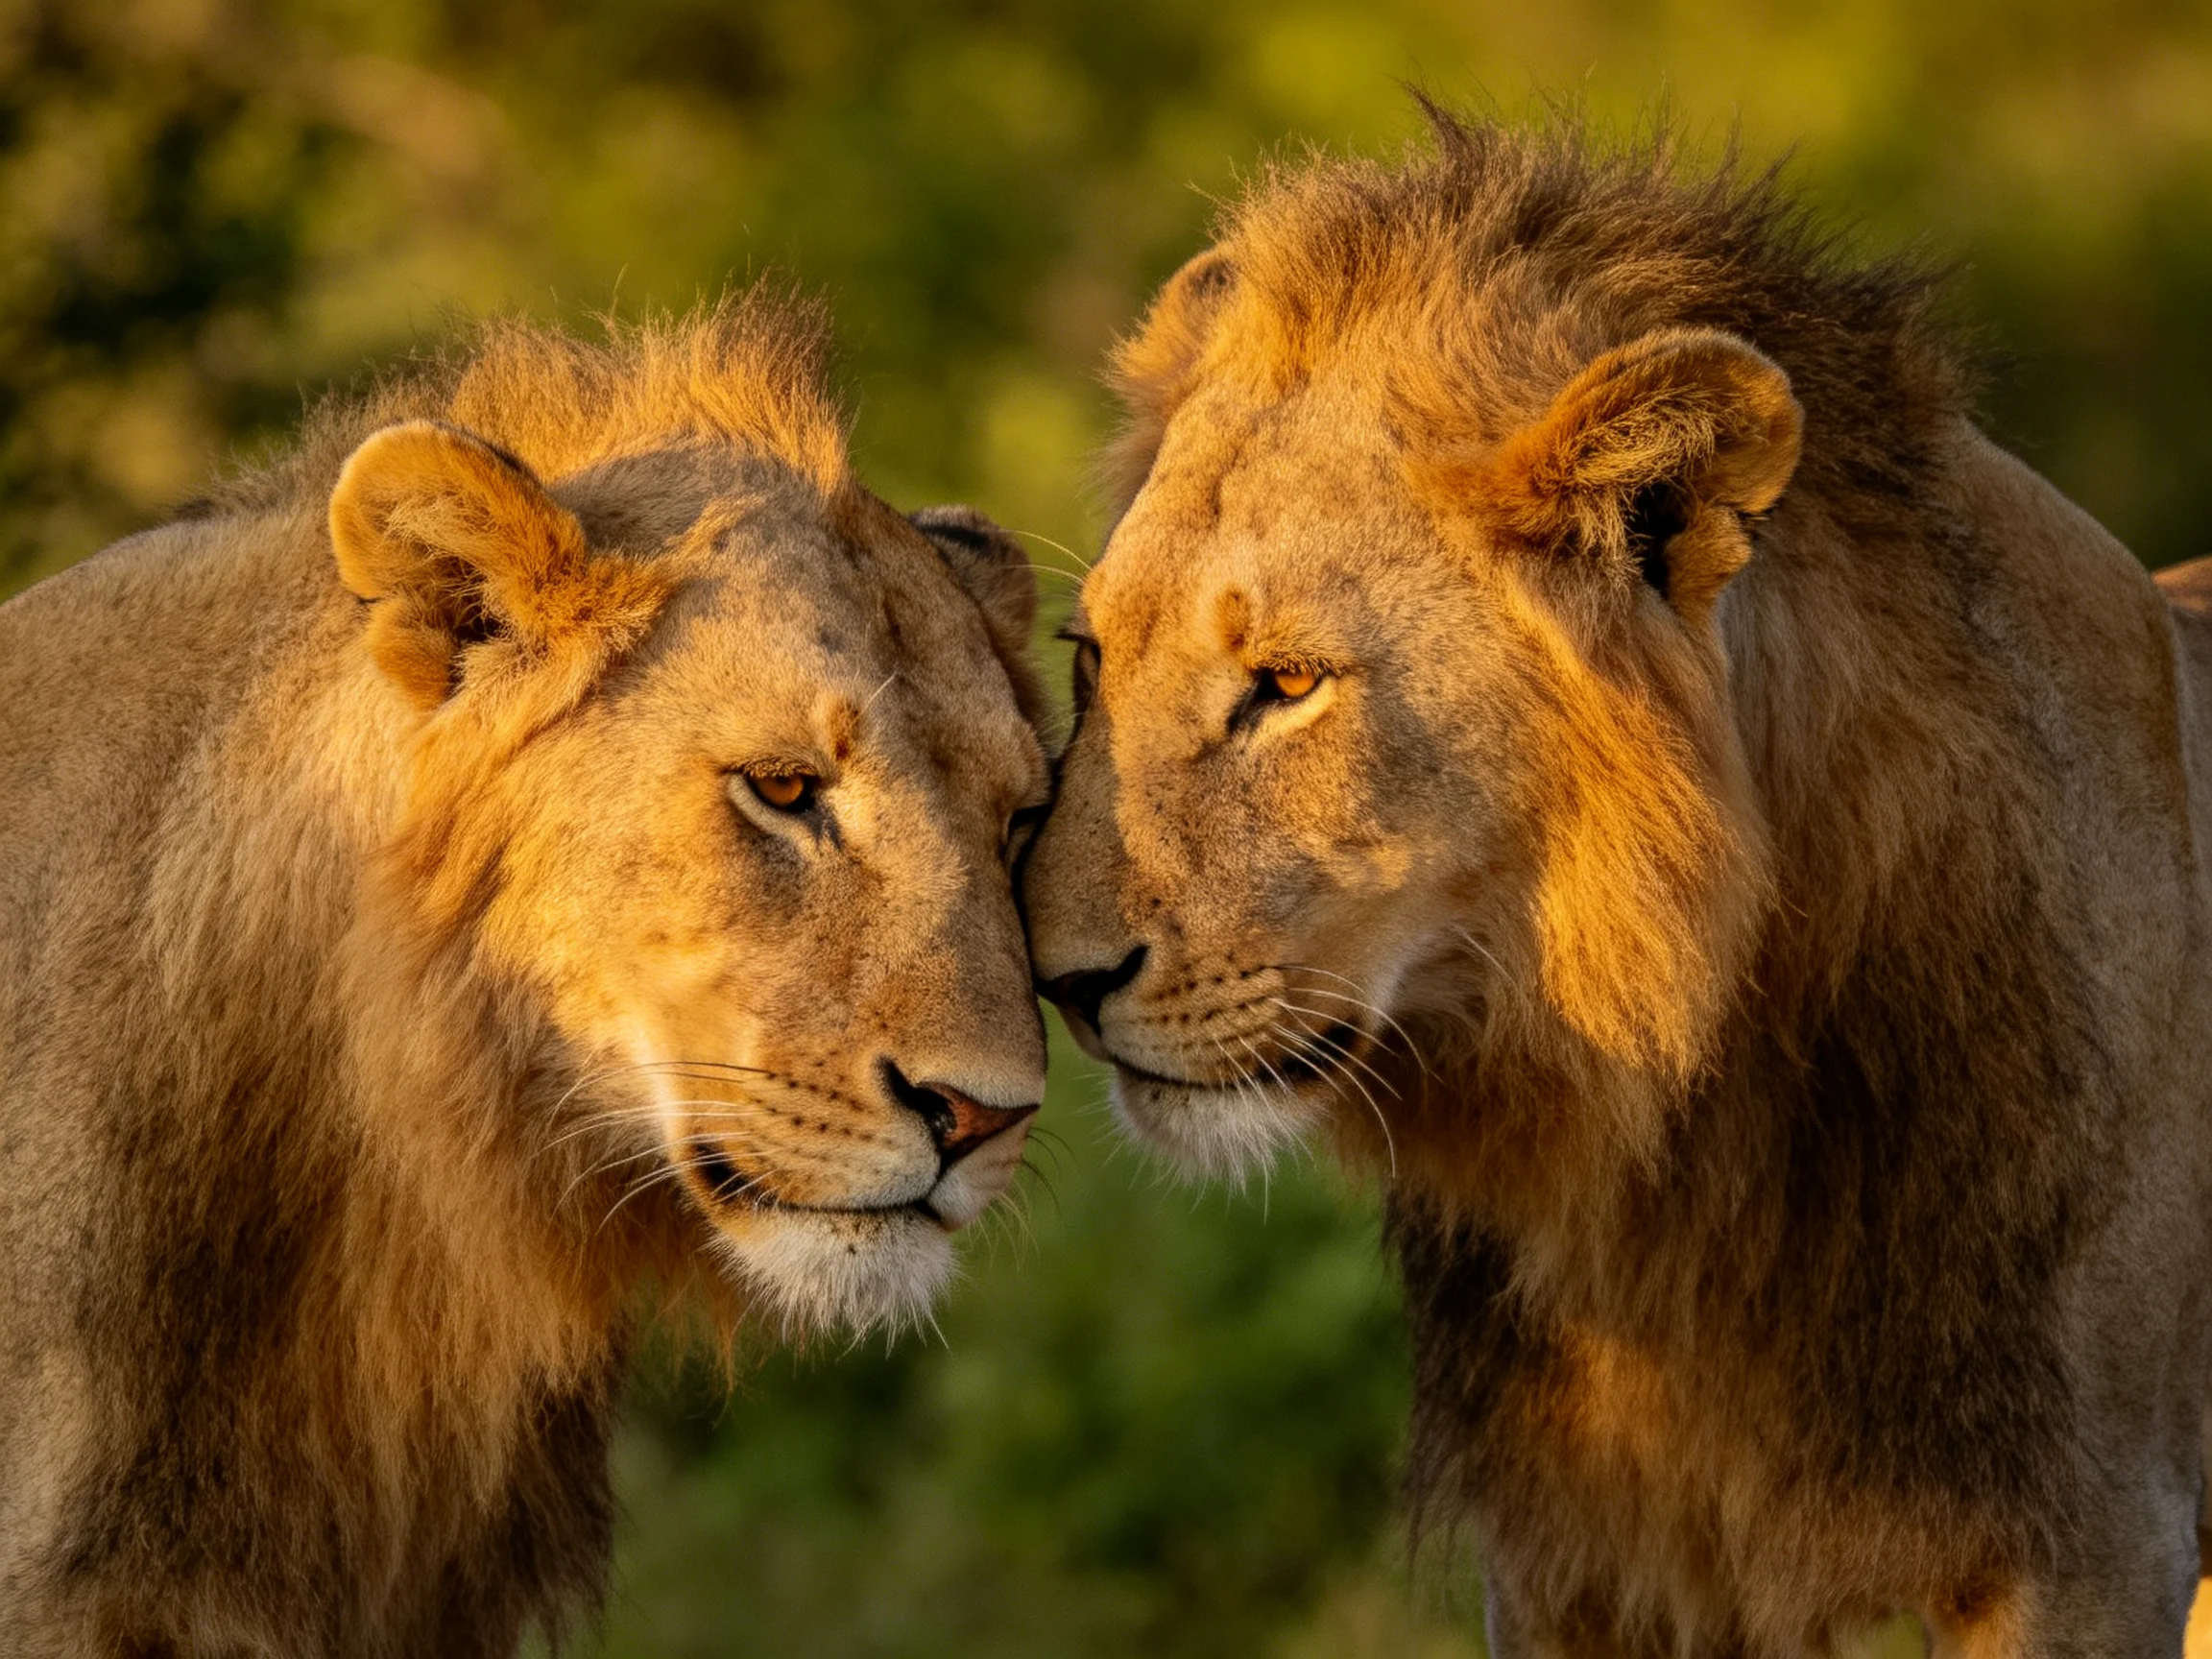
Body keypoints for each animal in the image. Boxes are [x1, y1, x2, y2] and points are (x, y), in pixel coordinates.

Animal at [1022, 111, 2212, 1655]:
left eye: (1285, 685)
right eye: (1092, 658)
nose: (1057, 982)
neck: (1687, 1121)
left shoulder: (2095, 1536)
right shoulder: (1576, 1557)